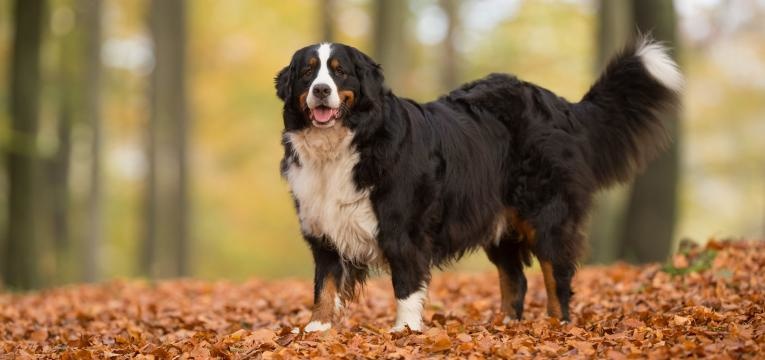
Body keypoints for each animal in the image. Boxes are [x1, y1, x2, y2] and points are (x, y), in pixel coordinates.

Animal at [274, 37, 680, 332]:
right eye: (308, 73)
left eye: (340, 73)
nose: (321, 90)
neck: (345, 145)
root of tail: (560, 105)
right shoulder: (323, 227)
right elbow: (324, 284)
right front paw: (317, 329)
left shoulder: (403, 230)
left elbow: (405, 286)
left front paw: (404, 331)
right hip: (499, 223)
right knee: (515, 279)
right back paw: (505, 325)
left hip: (546, 215)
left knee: (556, 275)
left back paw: (556, 325)